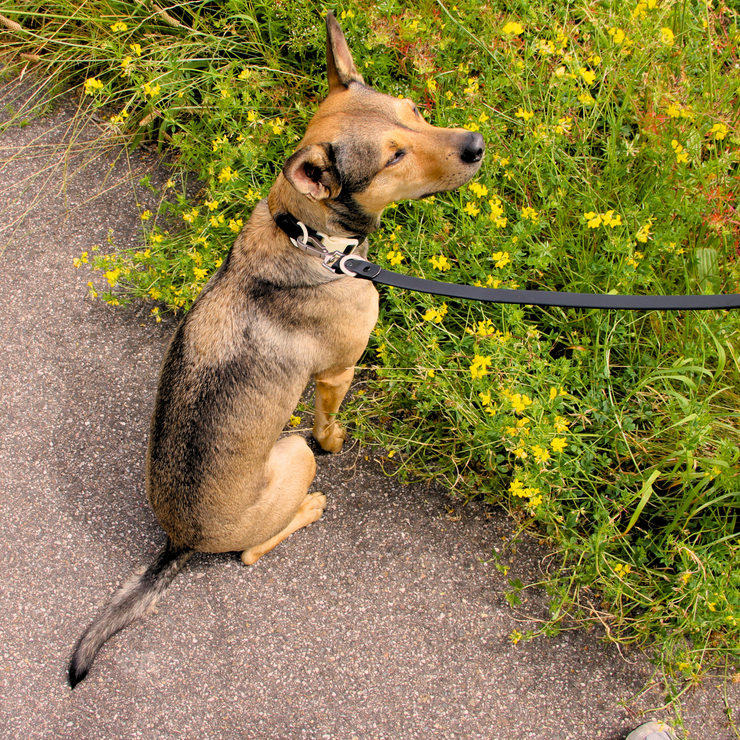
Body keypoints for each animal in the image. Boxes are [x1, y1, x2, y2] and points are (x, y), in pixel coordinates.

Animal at [68, 11, 486, 688]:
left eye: (415, 111)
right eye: (393, 156)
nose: (477, 145)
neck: (310, 237)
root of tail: (180, 540)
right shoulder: (339, 371)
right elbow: (329, 423)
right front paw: (338, 439)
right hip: (289, 454)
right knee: (250, 552)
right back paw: (308, 507)